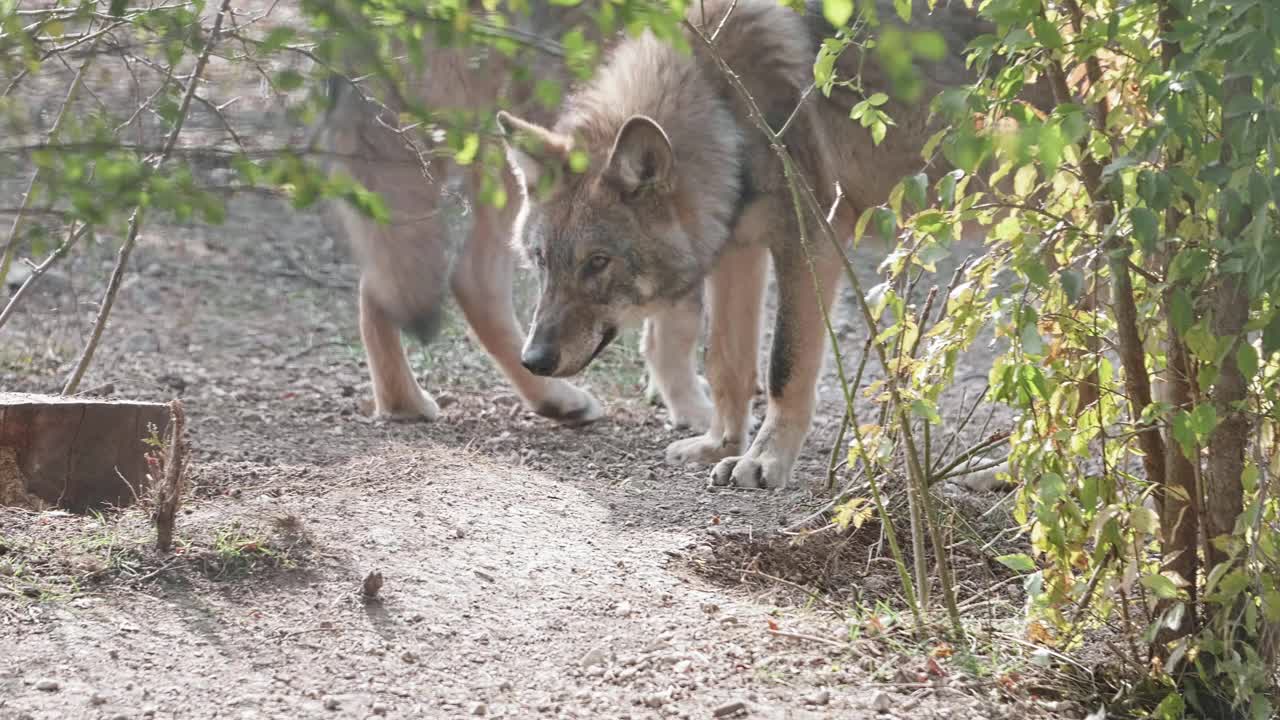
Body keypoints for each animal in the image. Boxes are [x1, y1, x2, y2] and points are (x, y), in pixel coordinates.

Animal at [494, 0, 1024, 486]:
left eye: (599, 262)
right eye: (541, 261)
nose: (534, 360)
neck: (725, 105)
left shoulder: (809, 241)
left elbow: (781, 365)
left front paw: (764, 461)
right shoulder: (738, 249)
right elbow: (726, 364)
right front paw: (719, 446)